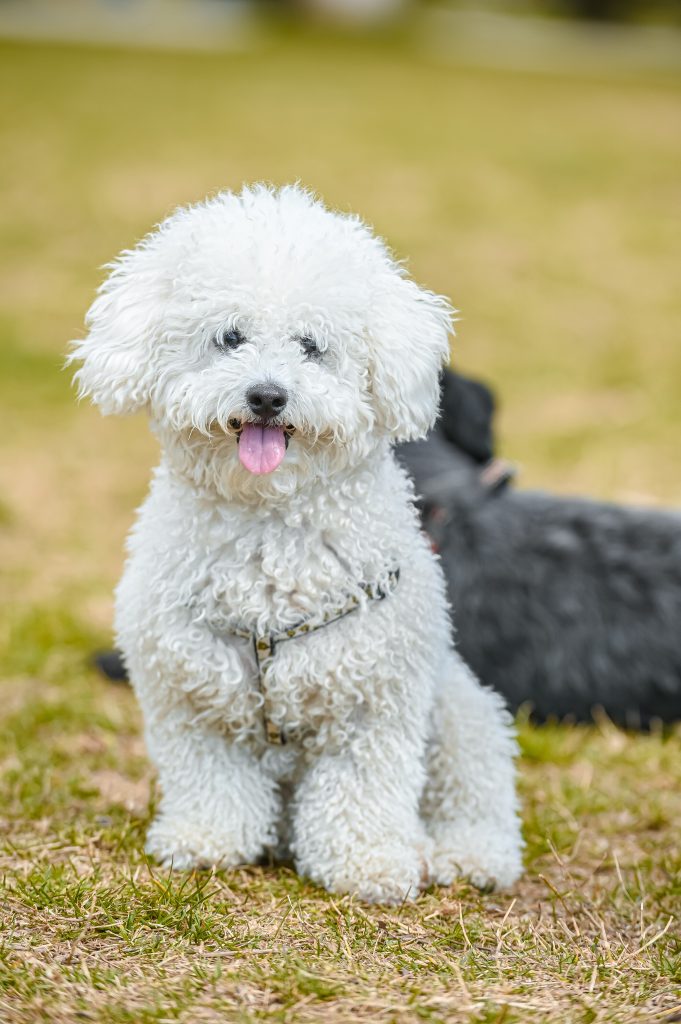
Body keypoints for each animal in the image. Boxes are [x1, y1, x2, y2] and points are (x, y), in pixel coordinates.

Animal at [70, 184, 520, 905]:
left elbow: (362, 791)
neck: (270, 528)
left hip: (461, 714)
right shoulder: (192, 694)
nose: (266, 395)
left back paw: (461, 854)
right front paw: (209, 841)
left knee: (476, 797)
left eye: (312, 345)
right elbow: (212, 779)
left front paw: (367, 865)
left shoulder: (374, 703)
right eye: (229, 337)